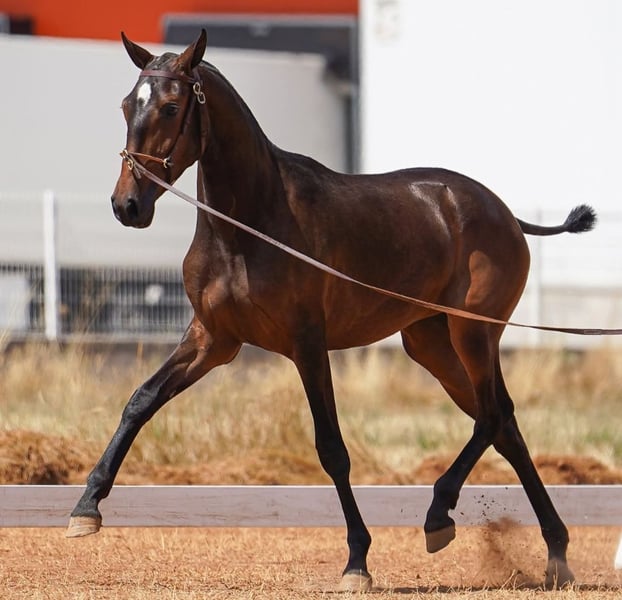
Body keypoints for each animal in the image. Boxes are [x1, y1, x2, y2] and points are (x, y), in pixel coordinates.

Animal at [67, 30, 597, 591]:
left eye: (171, 107)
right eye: (128, 104)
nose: (127, 205)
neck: (248, 225)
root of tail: (504, 212)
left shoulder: (307, 343)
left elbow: (332, 449)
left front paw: (357, 561)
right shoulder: (213, 339)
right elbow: (140, 401)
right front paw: (86, 507)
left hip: (472, 333)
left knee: (492, 417)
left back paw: (440, 515)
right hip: (431, 343)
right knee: (504, 424)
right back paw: (555, 554)